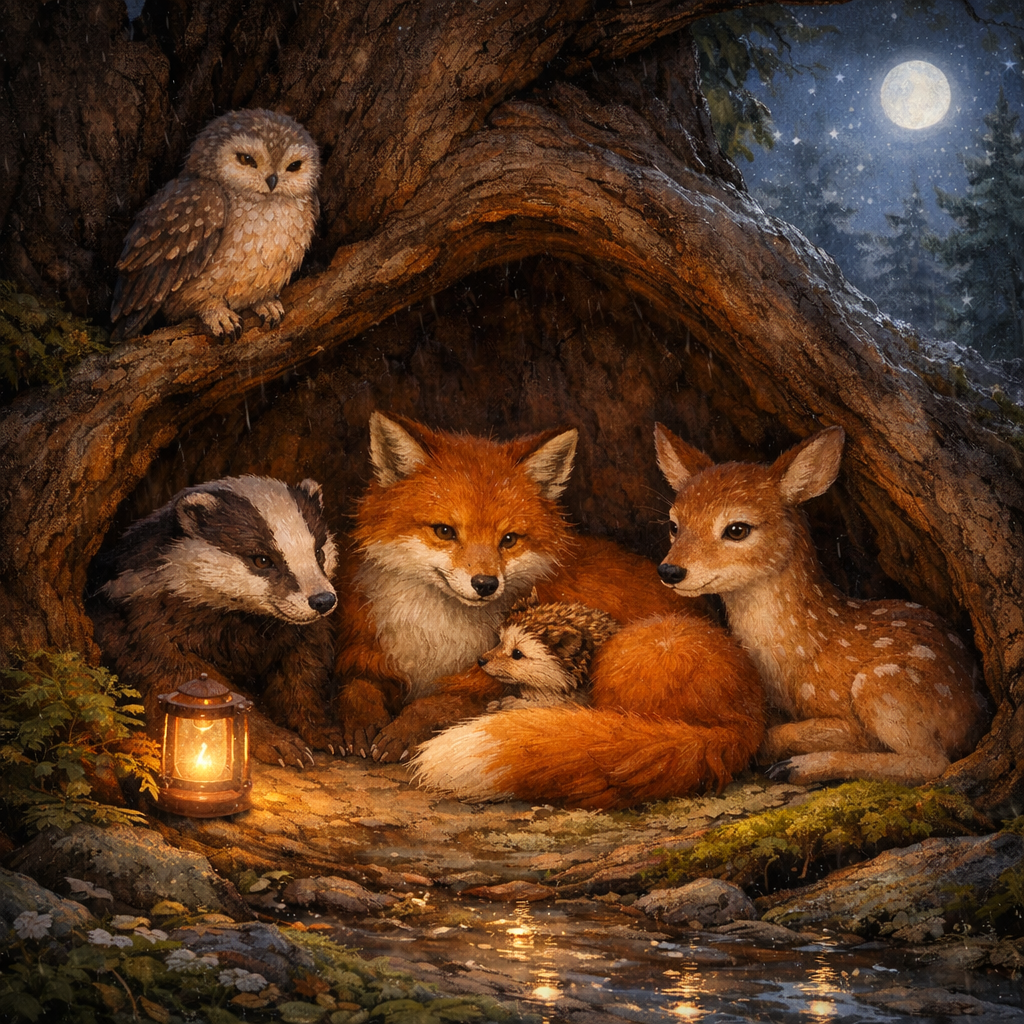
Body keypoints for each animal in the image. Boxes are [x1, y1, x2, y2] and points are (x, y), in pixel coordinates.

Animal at [333, 412, 699, 762]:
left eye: (508, 540)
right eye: (444, 531)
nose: (485, 584)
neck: (437, 636)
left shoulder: (495, 681)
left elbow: (438, 702)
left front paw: (404, 730)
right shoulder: (370, 653)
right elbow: (357, 688)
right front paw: (361, 724)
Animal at [653, 422, 988, 787]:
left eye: (737, 529)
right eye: (674, 525)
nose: (670, 570)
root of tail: (979, 708)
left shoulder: (855, 716)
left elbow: (784, 734)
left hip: (886, 686)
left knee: (931, 763)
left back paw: (799, 767)